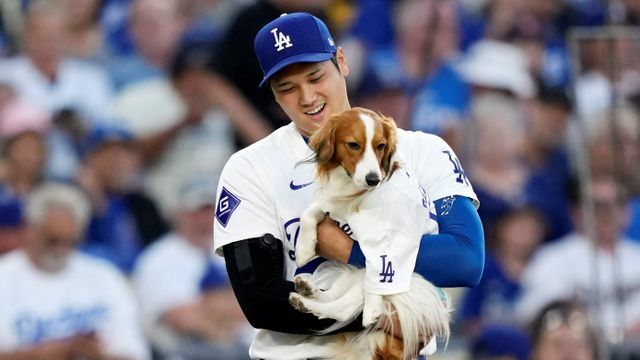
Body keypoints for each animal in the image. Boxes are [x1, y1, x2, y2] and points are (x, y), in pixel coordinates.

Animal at [290, 107, 450, 360]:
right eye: (353, 145)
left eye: (381, 146)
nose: (373, 179)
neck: (356, 194)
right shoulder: (335, 206)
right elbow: (311, 211)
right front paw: (305, 247)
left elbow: (382, 266)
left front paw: (373, 309)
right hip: (351, 273)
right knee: (334, 297)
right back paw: (307, 291)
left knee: (343, 309)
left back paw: (310, 304)